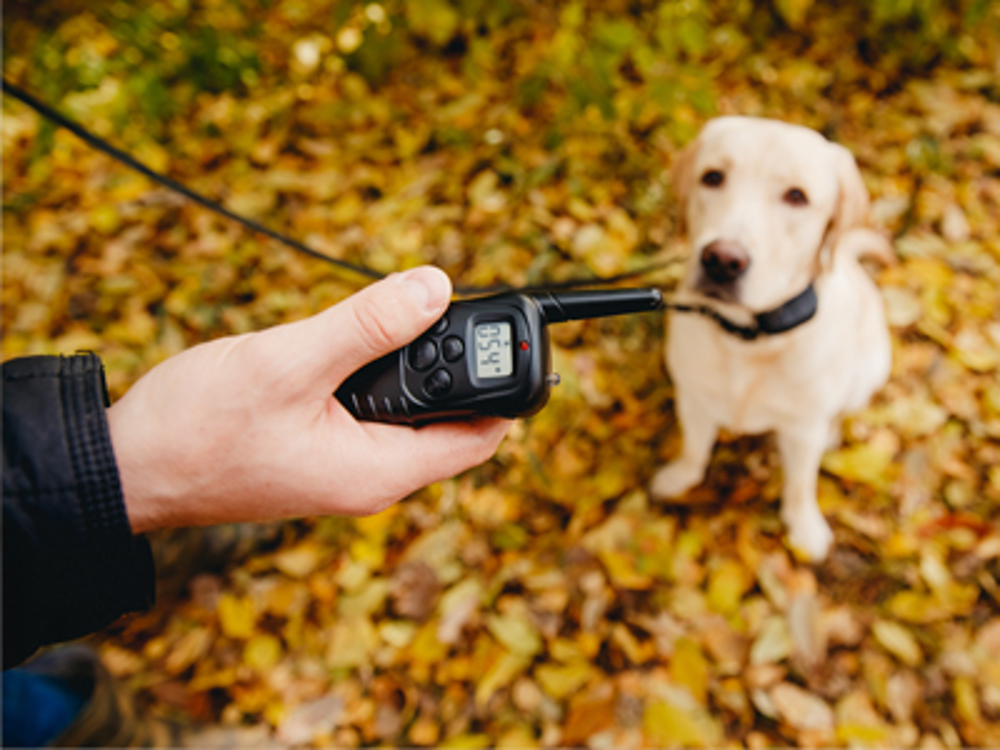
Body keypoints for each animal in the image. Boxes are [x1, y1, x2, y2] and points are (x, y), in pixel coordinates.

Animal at [652, 117, 896, 560]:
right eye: (712, 177)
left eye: (797, 196)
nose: (722, 260)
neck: (749, 338)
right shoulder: (693, 401)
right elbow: (694, 449)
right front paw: (680, 477)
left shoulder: (802, 429)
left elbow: (800, 484)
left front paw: (804, 527)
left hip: (870, 371)